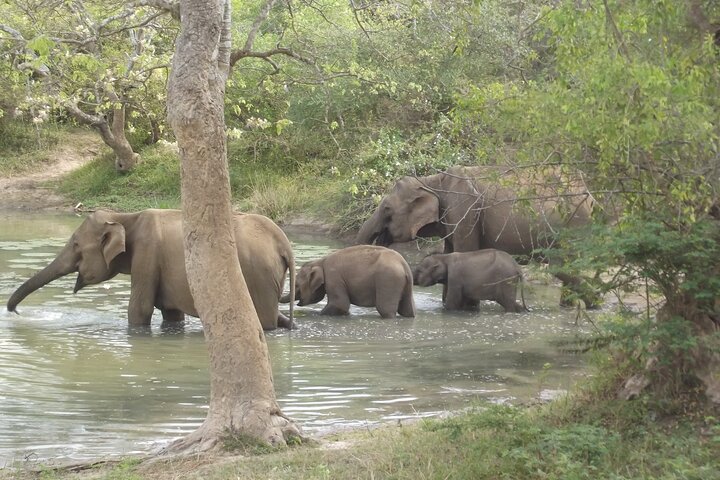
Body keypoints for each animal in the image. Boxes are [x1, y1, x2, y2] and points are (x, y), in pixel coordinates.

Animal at [6, 209, 295, 330]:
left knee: (265, 321)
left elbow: (139, 310)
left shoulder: (146, 254)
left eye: (76, 244)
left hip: (259, 276)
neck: (125, 217)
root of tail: (284, 244)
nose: (15, 312)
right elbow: (171, 315)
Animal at [283, 245, 416, 318]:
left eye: (296, 285)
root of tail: (404, 265)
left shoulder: (334, 278)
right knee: (408, 310)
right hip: (404, 284)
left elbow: (340, 304)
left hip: (388, 280)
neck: (320, 261)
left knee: (385, 310)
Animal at [356, 165, 599, 308]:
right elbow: (450, 252)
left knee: (561, 265)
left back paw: (594, 303)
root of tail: (590, 194)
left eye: (387, 209)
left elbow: (464, 251)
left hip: (571, 223)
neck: (433, 181)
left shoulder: (464, 210)